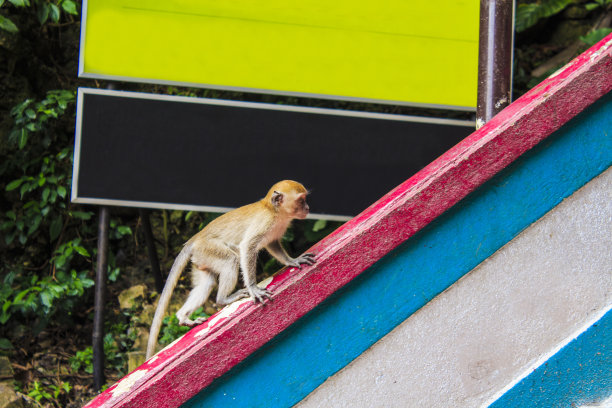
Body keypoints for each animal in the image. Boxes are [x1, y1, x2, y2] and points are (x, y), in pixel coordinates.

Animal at [145, 180, 314, 358]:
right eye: (301, 200)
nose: (307, 207)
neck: (273, 210)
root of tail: (195, 238)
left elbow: (272, 244)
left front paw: (293, 260)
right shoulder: (265, 222)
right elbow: (248, 247)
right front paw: (253, 288)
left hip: (201, 257)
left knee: (206, 283)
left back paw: (183, 316)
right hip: (209, 249)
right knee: (230, 260)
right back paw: (222, 299)